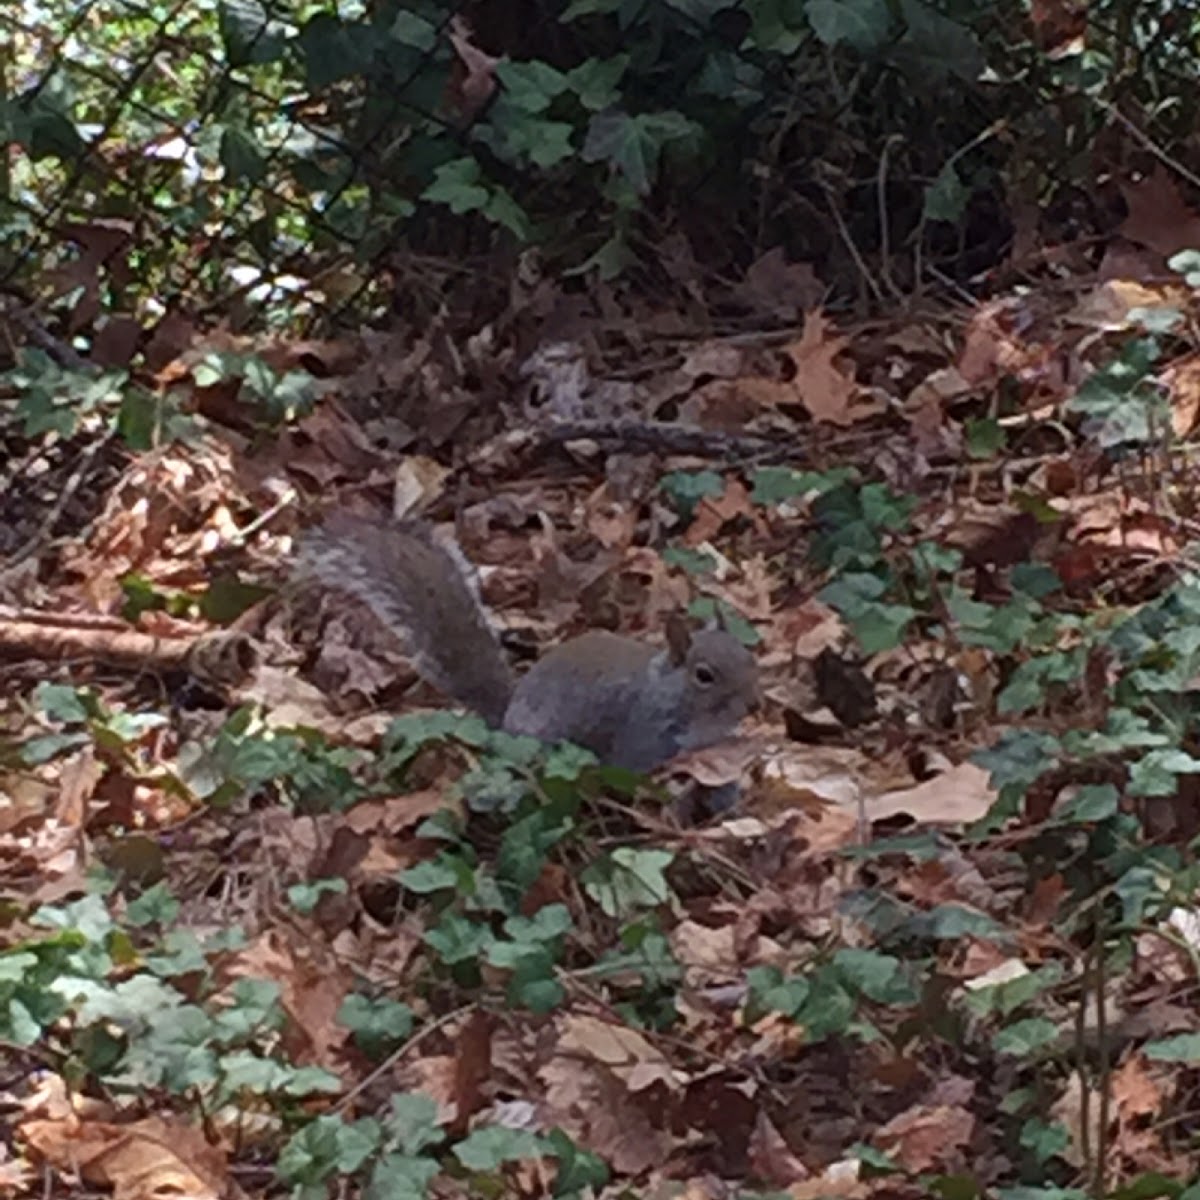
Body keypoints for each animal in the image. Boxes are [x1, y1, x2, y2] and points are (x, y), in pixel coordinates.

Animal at [298, 511, 758, 772]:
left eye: (747, 655)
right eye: (704, 675)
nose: (754, 705)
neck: (668, 689)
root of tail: (506, 720)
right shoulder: (641, 733)